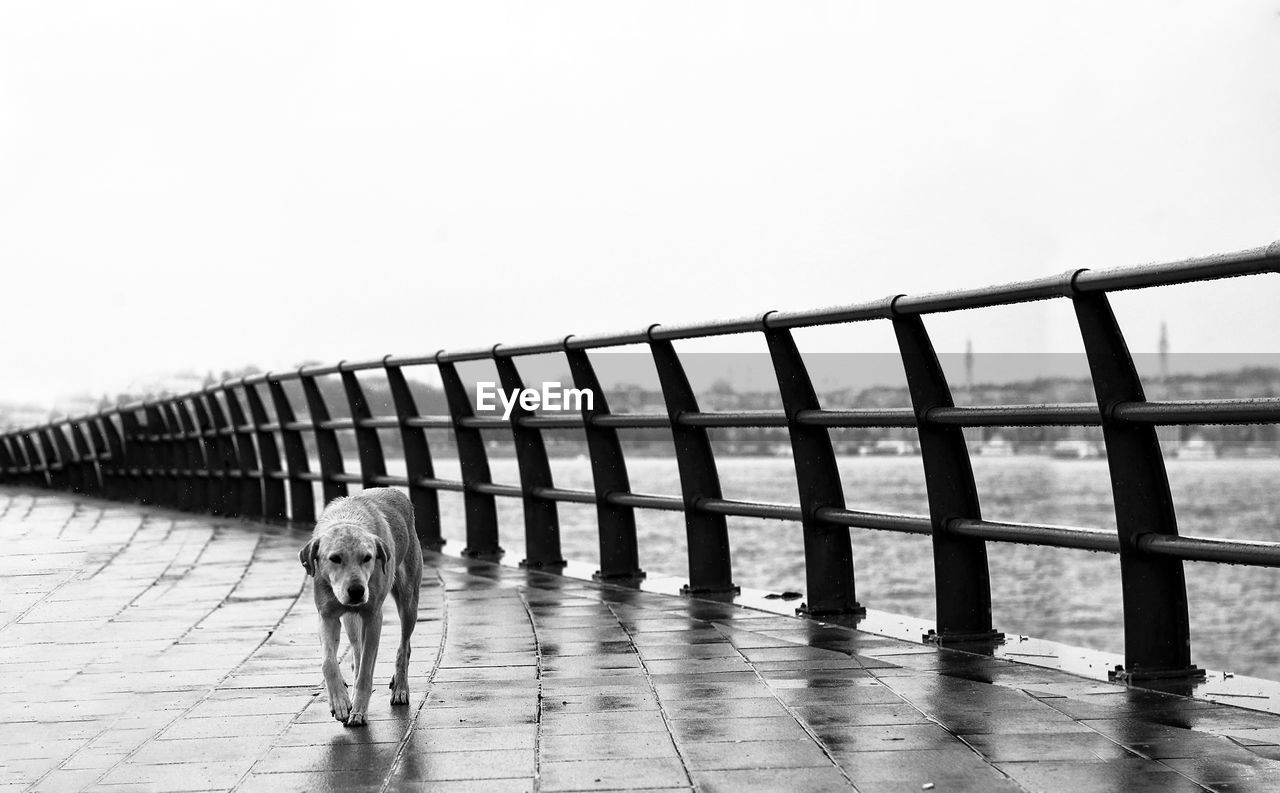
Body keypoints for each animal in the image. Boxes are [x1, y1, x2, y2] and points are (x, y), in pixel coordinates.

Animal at [296, 483, 422, 726]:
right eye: (335, 558)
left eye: (368, 557)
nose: (357, 591)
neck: (348, 518)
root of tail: (394, 490)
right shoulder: (327, 615)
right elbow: (328, 662)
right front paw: (340, 701)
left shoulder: (373, 617)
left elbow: (366, 670)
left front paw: (359, 709)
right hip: (350, 618)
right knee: (356, 648)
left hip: (409, 599)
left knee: (404, 646)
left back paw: (400, 688)